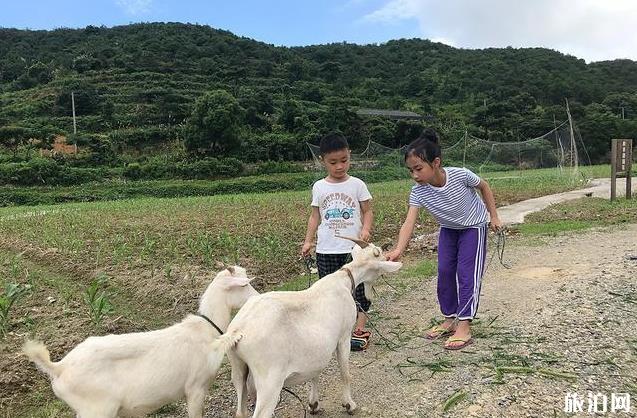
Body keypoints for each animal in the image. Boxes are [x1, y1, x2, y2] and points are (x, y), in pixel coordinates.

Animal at [23, 266, 258, 418]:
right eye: (245, 285)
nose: (257, 296)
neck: (205, 330)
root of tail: (59, 367)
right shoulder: (195, 389)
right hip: (97, 409)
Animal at [216, 238, 400, 418]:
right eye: (380, 255)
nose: (369, 298)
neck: (343, 280)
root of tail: (238, 331)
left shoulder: (316, 351)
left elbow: (315, 372)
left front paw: (313, 405)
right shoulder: (344, 336)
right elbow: (345, 373)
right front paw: (349, 405)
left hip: (238, 371)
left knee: (240, 411)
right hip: (269, 381)